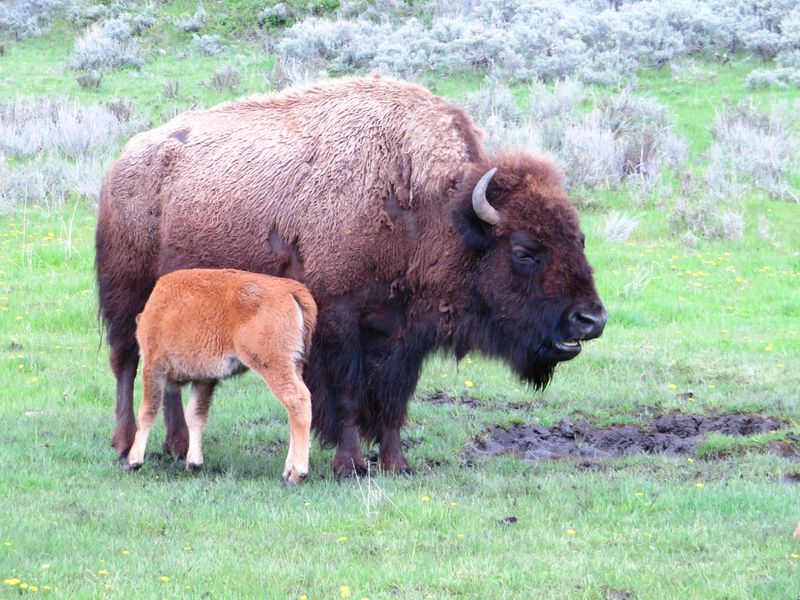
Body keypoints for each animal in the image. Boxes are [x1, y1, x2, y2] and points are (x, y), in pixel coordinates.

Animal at [126, 268, 318, 482]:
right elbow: (196, 415)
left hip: (274, 365)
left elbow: (147, 411)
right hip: (294, 365)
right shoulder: (204, 379)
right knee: (294, 409)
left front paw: (134, 461)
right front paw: (194, 463)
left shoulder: (153, 368)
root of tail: (290, 289)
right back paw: (287, 471)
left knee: (297, 400)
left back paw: (298, 472)